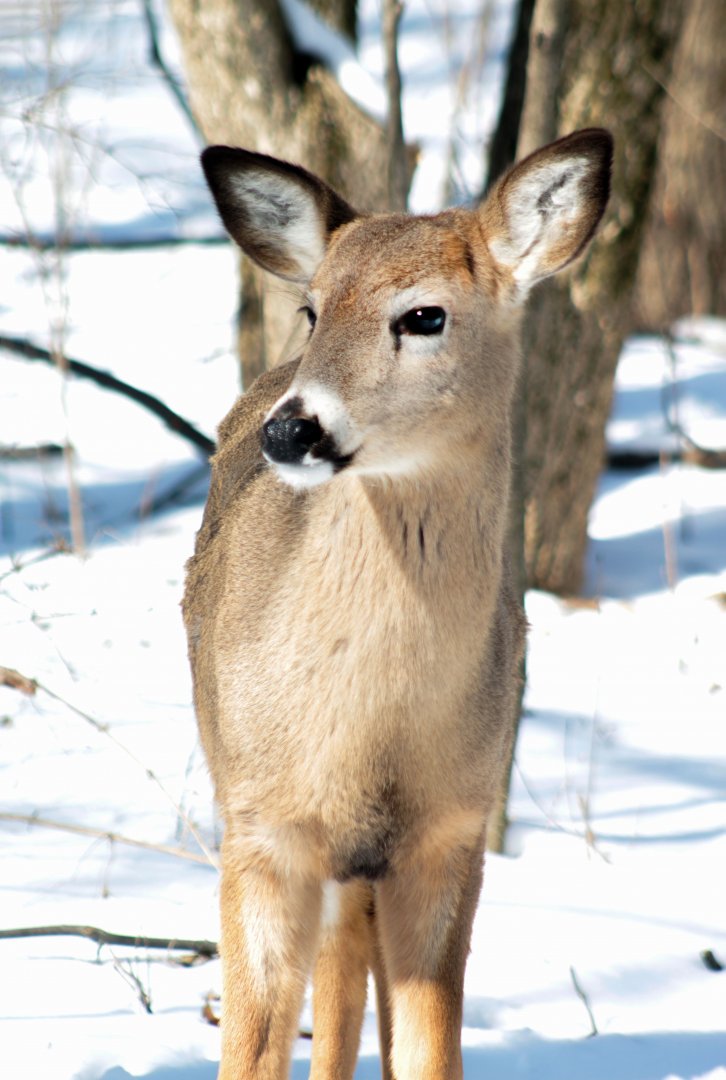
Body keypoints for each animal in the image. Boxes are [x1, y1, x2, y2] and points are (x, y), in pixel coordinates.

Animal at [183, 127, 612, 1079]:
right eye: (313, 308)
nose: (291, 429)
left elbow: (426, 1049)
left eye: (424, 316)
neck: (369, 728)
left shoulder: (450, 832)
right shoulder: (261, 823)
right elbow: (253, 1051)